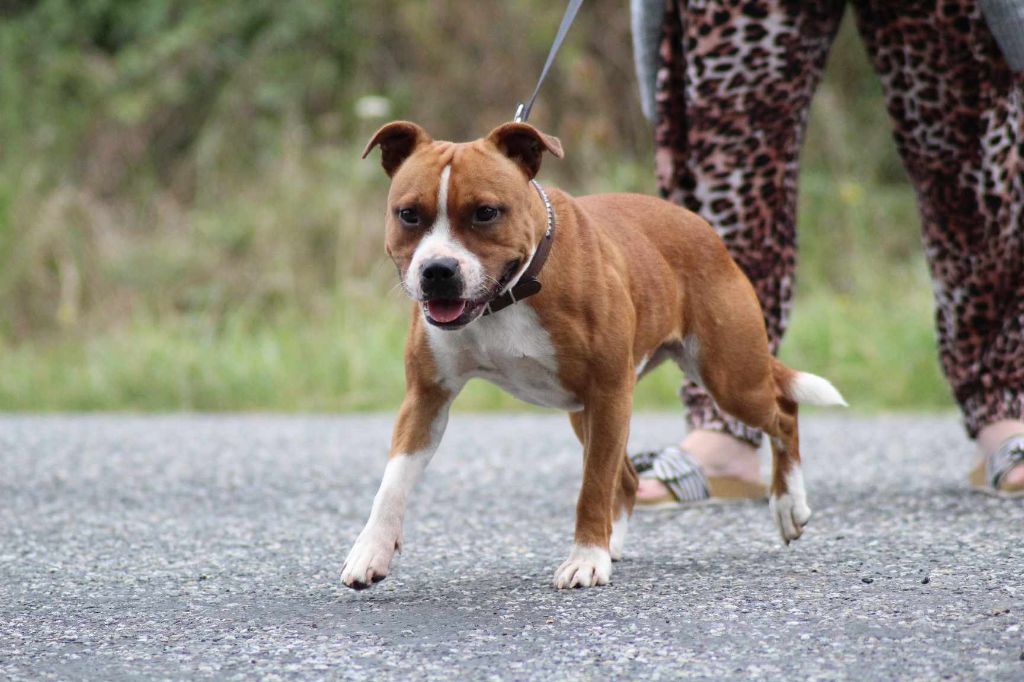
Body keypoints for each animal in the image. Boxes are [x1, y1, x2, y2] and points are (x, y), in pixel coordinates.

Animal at [339, 119, 843, 585]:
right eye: (408, 214)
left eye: (485, 213)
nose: (438, 270)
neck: (510, 295)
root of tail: (702, 228)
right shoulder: (427, 397)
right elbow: (392, 482)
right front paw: (371, 550)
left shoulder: (608, 392)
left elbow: (593, 485)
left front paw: (585, 559)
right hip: (588, 411)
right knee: (630, 477)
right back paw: (615, 541)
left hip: (729, 378)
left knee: (783, 413)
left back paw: (788, 504)